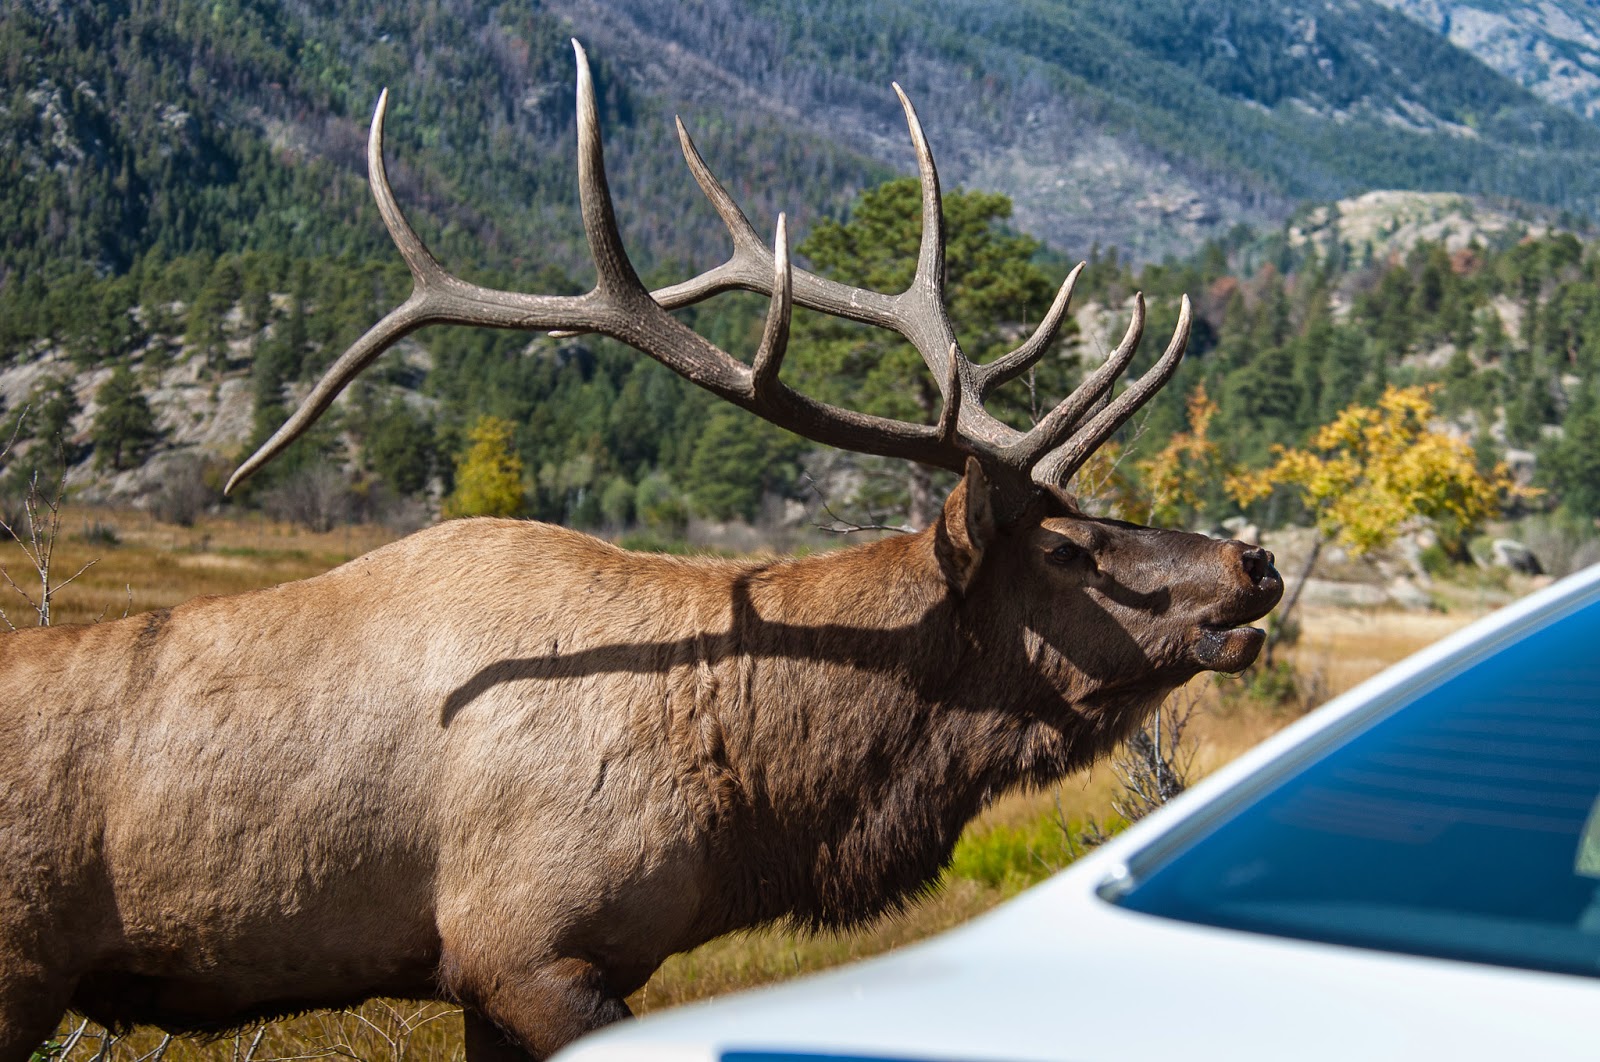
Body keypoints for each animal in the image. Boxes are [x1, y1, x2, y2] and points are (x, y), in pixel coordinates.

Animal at [0, 41, 1281, 1062]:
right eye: (1066, 548)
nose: (1253, 563)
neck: (751, 791)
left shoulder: (494, 977)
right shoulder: (528, 947)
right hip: (18, 970)